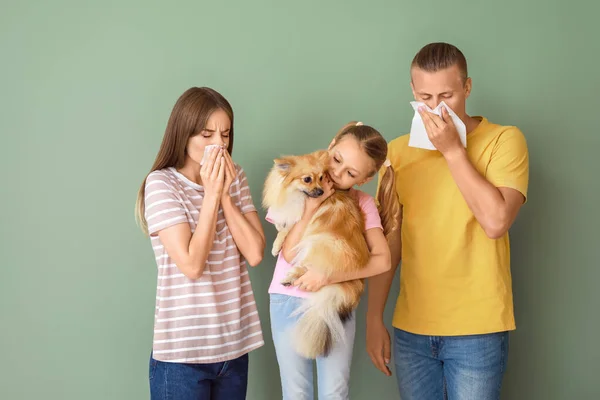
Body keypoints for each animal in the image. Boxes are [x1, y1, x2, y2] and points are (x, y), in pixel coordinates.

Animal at [262, 149, 370, 360]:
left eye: (321, 178)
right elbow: (281, 224)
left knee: (307, 266)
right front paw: (278, 234)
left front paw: (277, 245)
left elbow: (288, 229)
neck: (296, 196)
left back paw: (290, 277)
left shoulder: (301, 220)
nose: (320, 192)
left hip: (320, 241)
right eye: (307, 179)